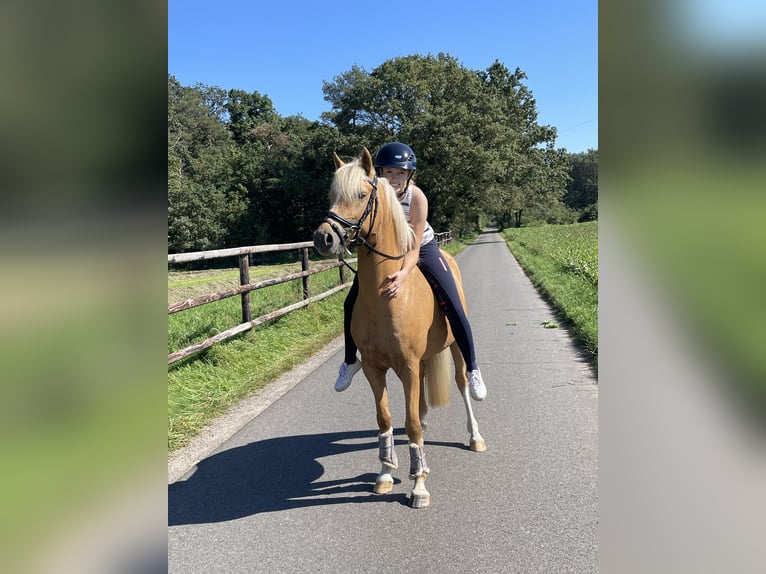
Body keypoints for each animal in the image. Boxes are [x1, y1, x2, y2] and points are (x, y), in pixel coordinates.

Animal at [312, 146, 486, 510]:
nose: (324, 237)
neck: (388, 295)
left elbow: (412, 424)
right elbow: (387, 419)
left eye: (361, 195)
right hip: (419, 363)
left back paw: (475, 434)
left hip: (455, 347)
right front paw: (384, 474)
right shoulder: (375, 368)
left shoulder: (407, 365)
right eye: (331, 195)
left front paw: (418, 484)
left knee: (462, 383)